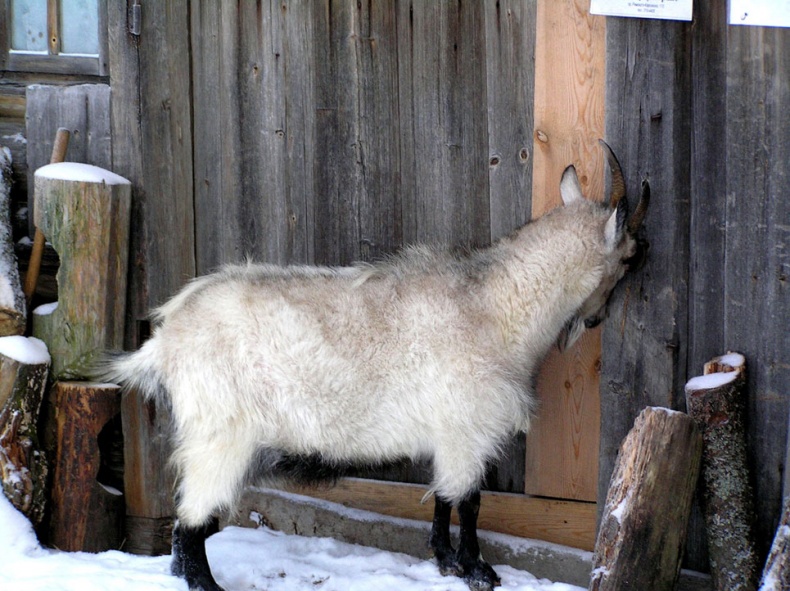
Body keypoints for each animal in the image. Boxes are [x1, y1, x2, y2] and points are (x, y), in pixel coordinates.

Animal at [99, 142, 648, 591]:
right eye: (629, 257)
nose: (596, 318)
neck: (492, 306)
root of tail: (166, 339)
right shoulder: (469, 428)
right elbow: (470, 501)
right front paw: (477, 571)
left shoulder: (448, 432)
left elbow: (444, 496)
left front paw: (446, 562)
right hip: (220, 435)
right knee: (193, 521)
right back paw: (207, 585)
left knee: (182, 524)